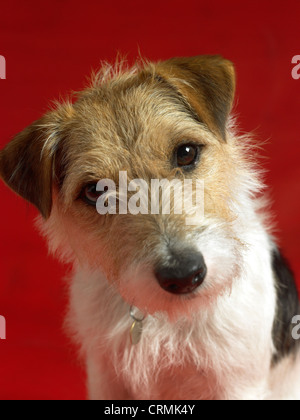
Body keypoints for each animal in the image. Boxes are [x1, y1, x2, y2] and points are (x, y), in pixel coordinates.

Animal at [0, 55, 300, 400]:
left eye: (186, 152)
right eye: (96, 191)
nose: (183, 275)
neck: (166, 318)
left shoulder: (238, 384)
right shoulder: (106, 376)